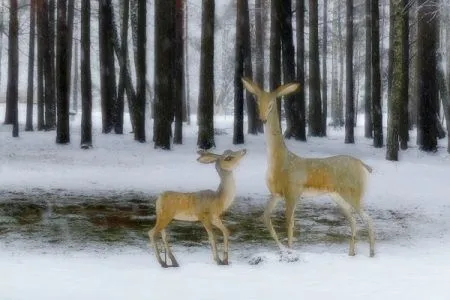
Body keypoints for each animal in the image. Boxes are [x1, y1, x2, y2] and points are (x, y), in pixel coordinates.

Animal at [243, 76, 376, 256]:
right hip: (337, 195)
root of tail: (364, 166)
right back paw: (351, 253)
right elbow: (265, 218)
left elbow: (289, 223)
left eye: (271, 104)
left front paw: (290, 250)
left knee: (368, 218)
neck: (280, 162)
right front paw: (282, 249)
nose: (262, 118)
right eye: (258, 101)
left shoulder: (293, 191)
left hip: (354, 192)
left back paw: (372, 253)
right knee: (354, 220)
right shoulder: (275, 193)